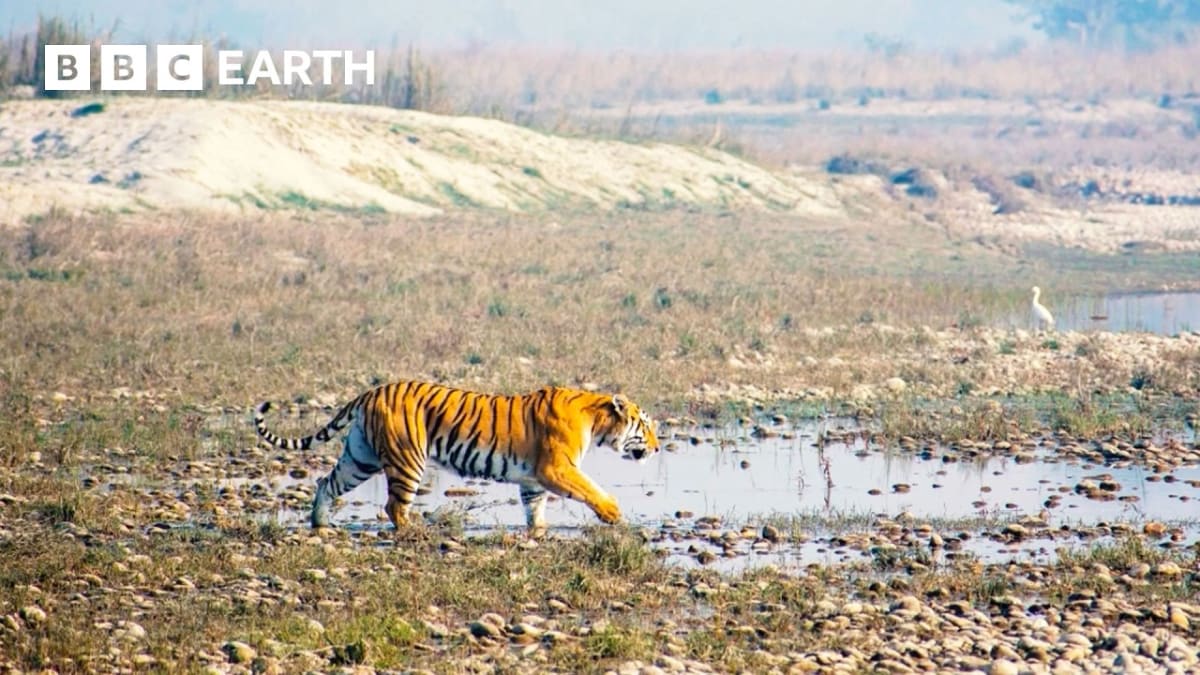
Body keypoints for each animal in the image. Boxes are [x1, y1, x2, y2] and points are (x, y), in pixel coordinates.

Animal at [253, 381, 660, 535]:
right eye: (645, 425)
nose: (657, 448)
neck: (597, 421)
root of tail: (373, 391)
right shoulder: (556, 468)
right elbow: (591, 490)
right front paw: (614, 514)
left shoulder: (533, 479)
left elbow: (535, 510)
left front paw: (538, 532)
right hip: (407, 458)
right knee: (394, 506)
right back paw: (415, 531)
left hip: (359, 457)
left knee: (326, 482)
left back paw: (320, 522)